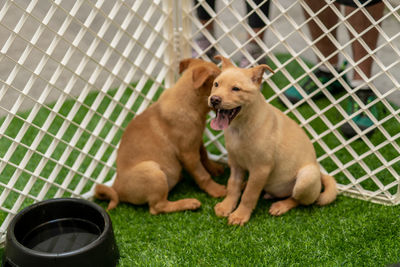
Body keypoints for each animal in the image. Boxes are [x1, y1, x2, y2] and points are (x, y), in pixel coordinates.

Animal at [94, 58, 225, 216]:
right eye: (218, 83)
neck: (188, 103)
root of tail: (116, 188)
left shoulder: (197, 141)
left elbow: (205, 156)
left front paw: (215, 168)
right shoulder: (188, 154)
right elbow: (202, 174)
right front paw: (216, 190)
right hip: (153, 171)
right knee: (157, 207)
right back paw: (189, 203)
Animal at [209, 56, 338, 226]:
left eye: (236, 89)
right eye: (216, 84)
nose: (214, 100)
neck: (240, 127)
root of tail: (319, 172)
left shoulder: (261, 168)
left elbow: (249, 195)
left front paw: (240, 215)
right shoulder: (236, 164)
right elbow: (233, 186)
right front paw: (227, 206)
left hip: (306, 178)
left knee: (299, 200)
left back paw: (281, 205)